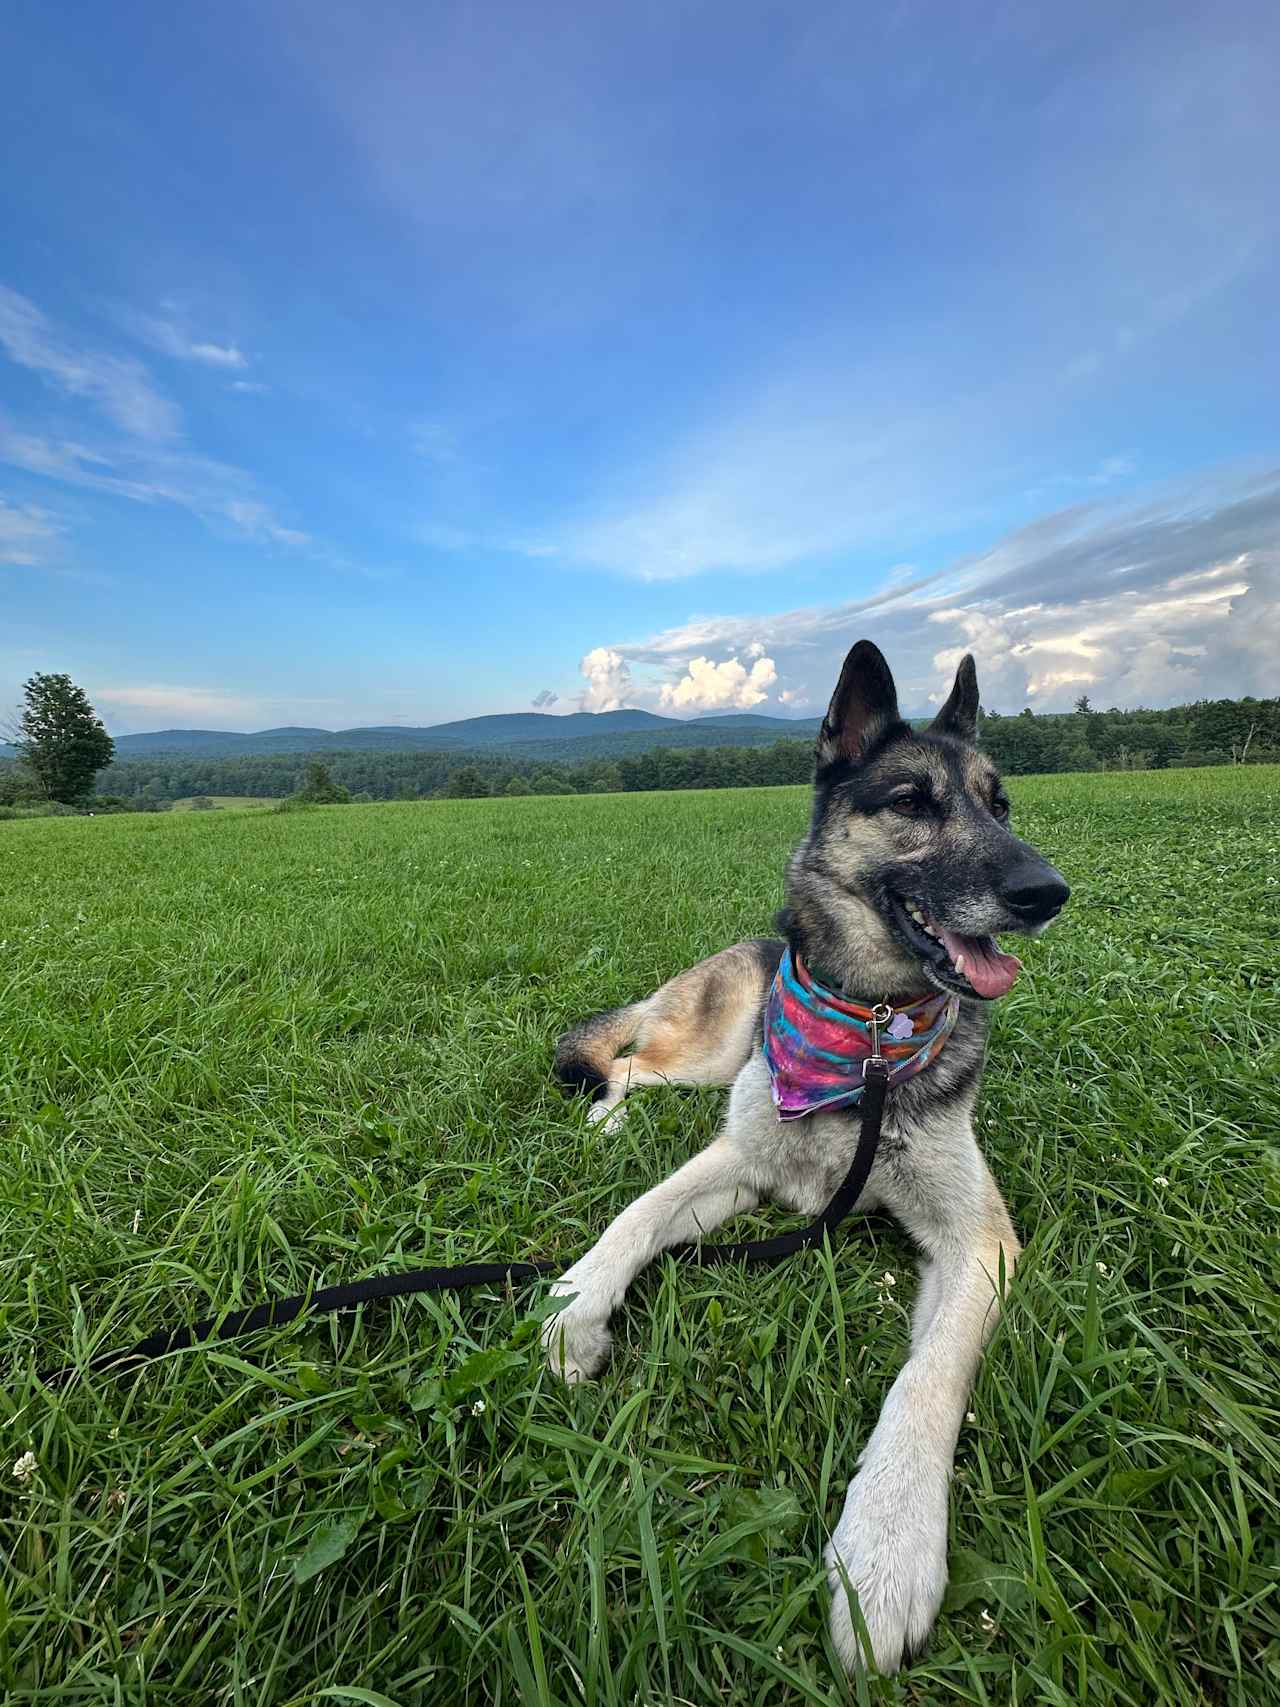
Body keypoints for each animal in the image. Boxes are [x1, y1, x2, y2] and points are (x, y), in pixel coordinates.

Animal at [542, 638, 1071, 1666]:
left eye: (1002, 805)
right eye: (911, 801)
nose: (1047, 894)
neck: (864, 1033)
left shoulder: (977, 1242)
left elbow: (928, 1379)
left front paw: (885, 1549)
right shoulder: (736, 1157)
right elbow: (636, 1214)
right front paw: (577, 1304)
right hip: (706, 1054)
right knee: (625, 1061)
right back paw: (606, 1121)